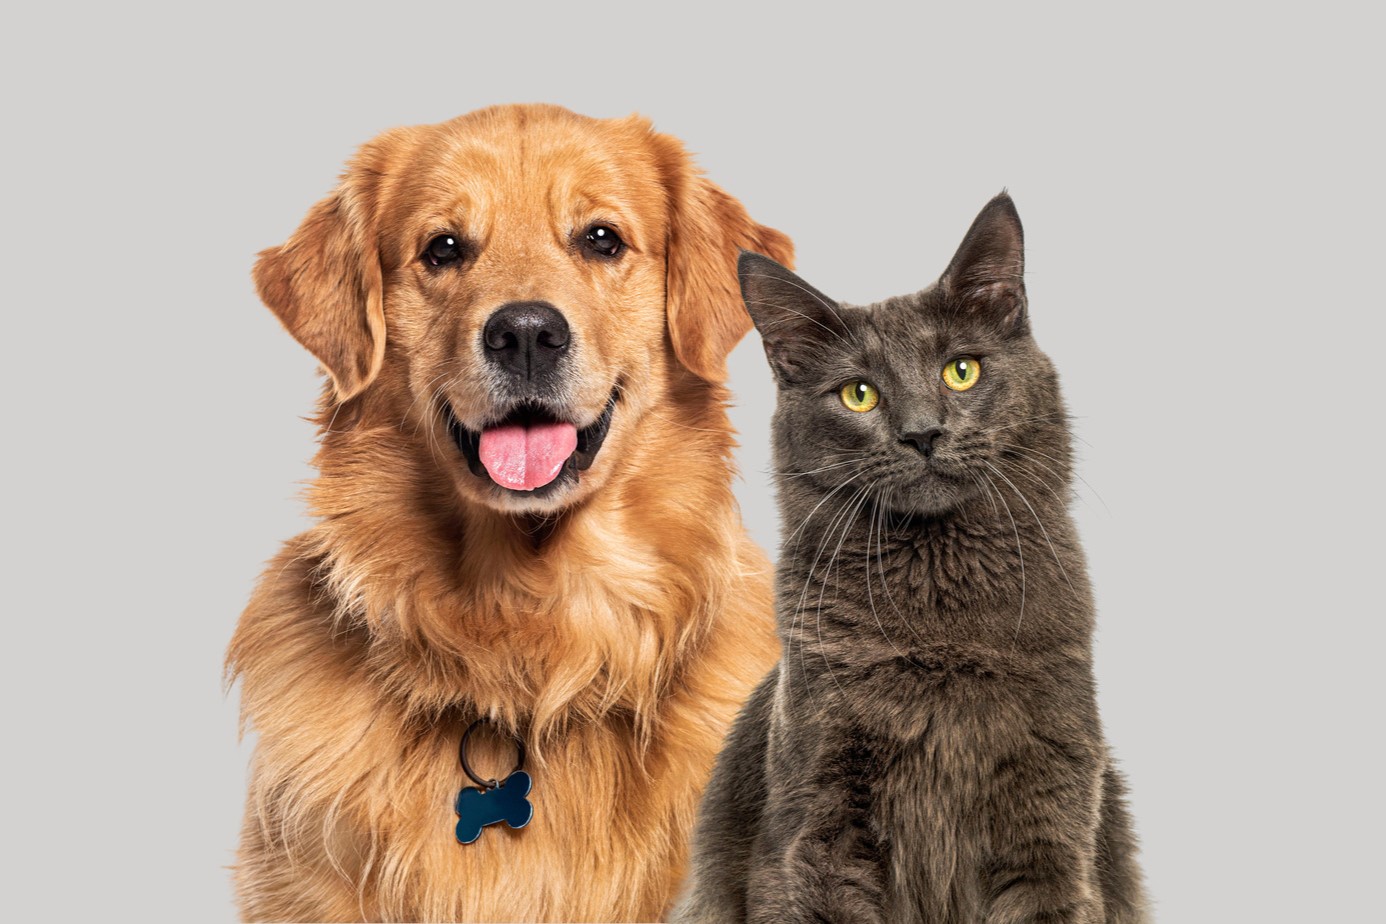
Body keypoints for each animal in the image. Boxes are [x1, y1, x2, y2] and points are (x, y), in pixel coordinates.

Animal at [673, 191, 1147, 919]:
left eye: (962, 371)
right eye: (859, 393)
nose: (923, 433)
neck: (939, 619)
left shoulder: (1054, 820)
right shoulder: (815, 828)